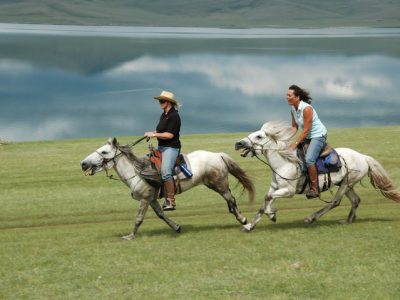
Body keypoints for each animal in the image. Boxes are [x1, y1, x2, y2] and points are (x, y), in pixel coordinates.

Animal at [81, 138, 255, 239]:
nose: (83, 163)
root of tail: (218, 154)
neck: (137, 172)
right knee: (230, 201)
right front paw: (177, 227)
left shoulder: (144, 199)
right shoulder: (151, 199)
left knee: (231, 199)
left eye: (104, 151)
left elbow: (138, 218)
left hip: (219, 184)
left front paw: (130, 236)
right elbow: (161, 214)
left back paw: (243, 220)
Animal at [234, 120, 400, 231]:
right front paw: (253, 224)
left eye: (259, 136)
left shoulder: (288, 191)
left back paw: (311, 217)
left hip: (345, 185)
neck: (284, 163)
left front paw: (267, 217)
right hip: (347, 184)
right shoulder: (275, 188)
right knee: (355, 200)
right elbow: (266, 201)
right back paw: (347, 220)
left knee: (335, 202)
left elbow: (267, 199)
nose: (238, 144)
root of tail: (363, 157)